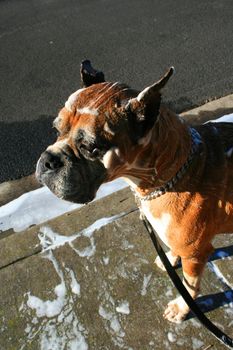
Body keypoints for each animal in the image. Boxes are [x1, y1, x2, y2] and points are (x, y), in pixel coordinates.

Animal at [36, 60, 233, 322]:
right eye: (56, 129)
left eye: (90, 147)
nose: (49, 160)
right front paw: (171, 258)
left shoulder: (196, 254)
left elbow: (190, 286)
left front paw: (181, 308)